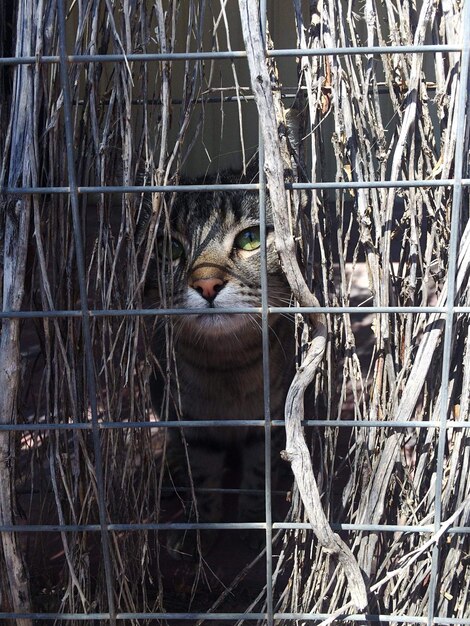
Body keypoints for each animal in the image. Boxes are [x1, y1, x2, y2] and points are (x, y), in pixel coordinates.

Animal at [146, 172, 294, 556]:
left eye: (250, 238)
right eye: (171, 249)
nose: (207, 283)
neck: (227, 369)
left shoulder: (269, 423)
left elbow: (259, 475)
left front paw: (255, 524)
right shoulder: (191, 424)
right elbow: (202, 479)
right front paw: (200, 529)